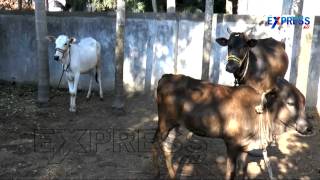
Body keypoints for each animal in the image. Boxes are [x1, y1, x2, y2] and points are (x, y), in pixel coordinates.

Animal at [152, 74, 312, 179]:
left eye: (304, 102)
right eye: (290, 102)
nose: (308, 128)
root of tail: (165, 77)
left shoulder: (245, 146)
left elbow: (243, 172)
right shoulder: (231, 143)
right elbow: (231, 173)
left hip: (176, 125)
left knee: (167, 146)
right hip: (165, 122)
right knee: (155, 141)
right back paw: (157, 173)